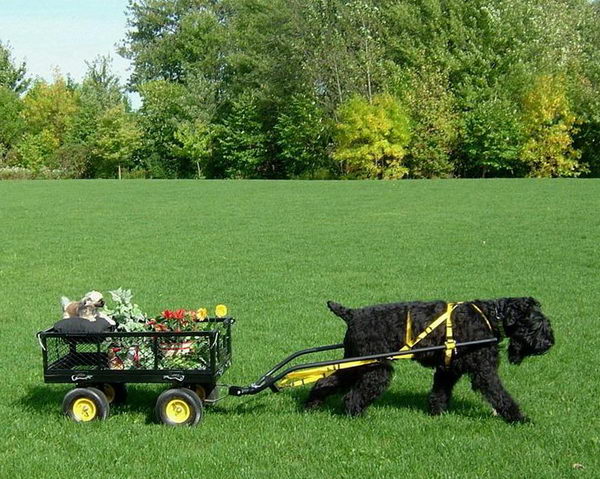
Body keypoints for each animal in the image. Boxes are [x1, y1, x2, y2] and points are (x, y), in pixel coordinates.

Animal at [308, 300, 556, 424]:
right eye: (537, 322)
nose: (549, 342)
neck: (489, 316)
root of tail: (352, 314)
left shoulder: (448, 369)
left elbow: (440, 392)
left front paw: (437, 414)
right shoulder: (484, 371)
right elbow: (500, 395)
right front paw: (519, 418)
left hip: (355, 365)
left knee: (326, 381)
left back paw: (312, 405)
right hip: (375, 369)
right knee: (353, 395)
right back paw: (356, 415)